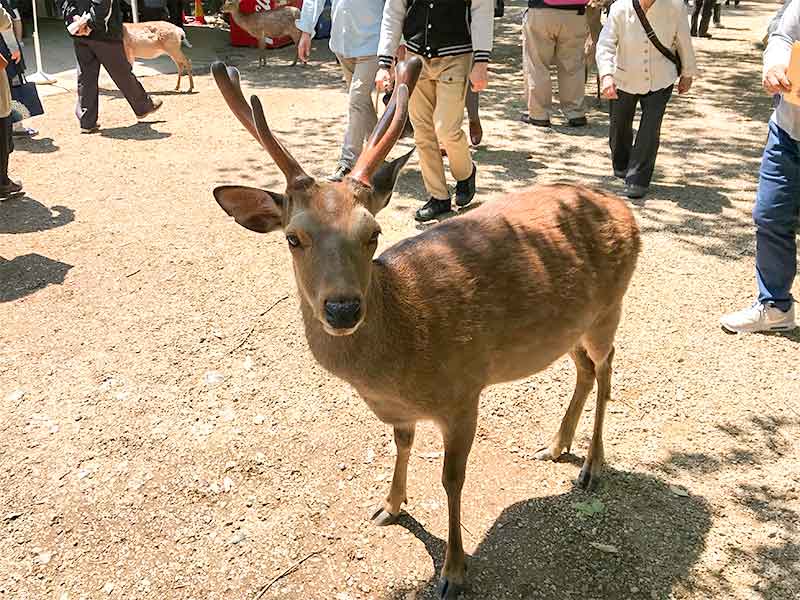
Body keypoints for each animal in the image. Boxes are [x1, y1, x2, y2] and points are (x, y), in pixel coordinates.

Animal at [209, 57, 640, 600]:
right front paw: (389, 507)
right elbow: (402, 446)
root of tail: (626, 212)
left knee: (607, 368)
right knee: (583, 368)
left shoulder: (464, 391)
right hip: (571, 327)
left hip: (611, 306)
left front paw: (453, 571)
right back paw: (556, 444)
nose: (343, 308)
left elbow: (452, 479)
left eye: (373, 233)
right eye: (293, 238)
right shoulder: (399, 411)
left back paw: (592, 467)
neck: (397, 367)